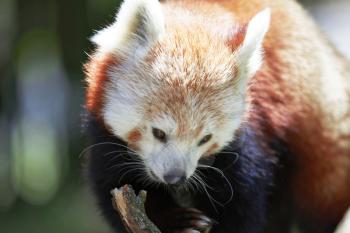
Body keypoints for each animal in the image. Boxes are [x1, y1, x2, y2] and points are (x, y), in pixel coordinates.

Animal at [84, 0, 350, 233]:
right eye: (158, 133)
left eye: (205, 139)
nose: (174, 177)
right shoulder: (103, 133)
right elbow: (117, 184)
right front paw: (178, 221)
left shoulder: (252, 132)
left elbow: (241, 204)